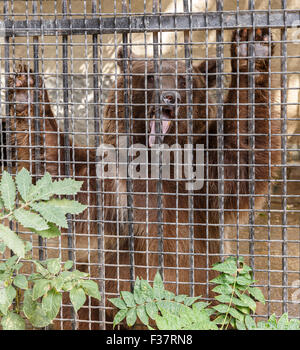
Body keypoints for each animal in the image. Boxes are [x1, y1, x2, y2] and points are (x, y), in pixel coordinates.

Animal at [7, 27, 282, 328]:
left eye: (185, 80)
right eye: (150, 75)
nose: (169, 97)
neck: (155, 159)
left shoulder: (199, 180)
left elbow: (242, 156)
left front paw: (251, 47)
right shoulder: (110, 182)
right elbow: (55, 170)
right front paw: (25, 87)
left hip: (215, 298)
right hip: (102, 296)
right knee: (71, 302)